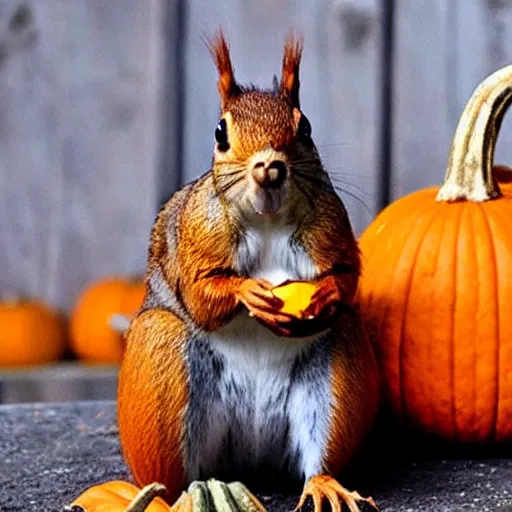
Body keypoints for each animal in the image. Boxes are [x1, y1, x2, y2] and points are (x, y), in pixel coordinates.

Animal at [117, 32, 380, 512]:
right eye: (220, 133)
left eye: (305, 128)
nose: (268, 167)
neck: (268, 221)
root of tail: (251, 456)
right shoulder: (198, 237)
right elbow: (201, 295)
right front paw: (248, 293)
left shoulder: (331, 228)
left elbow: (347, 273)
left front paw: (328, 293)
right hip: (159, 357)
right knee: (175, 479)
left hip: (337, 373)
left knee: (319, 453)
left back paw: (325, 484)